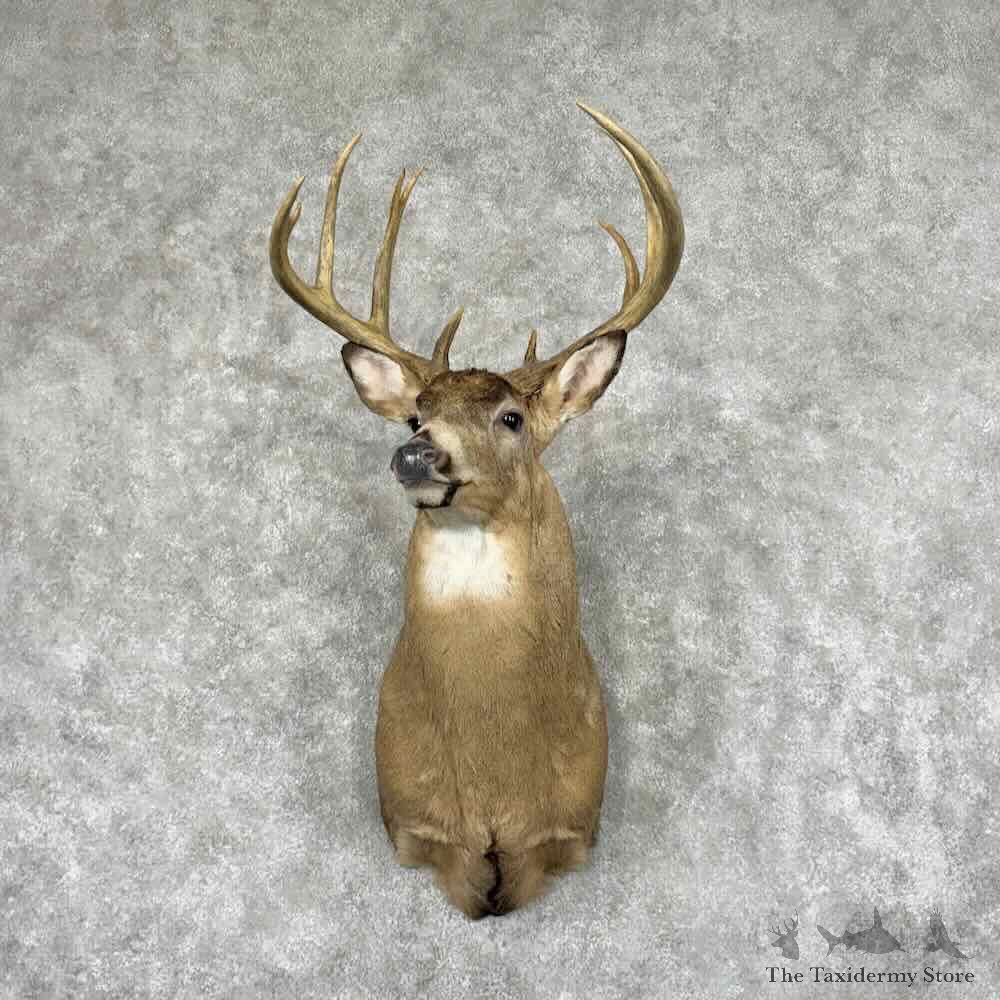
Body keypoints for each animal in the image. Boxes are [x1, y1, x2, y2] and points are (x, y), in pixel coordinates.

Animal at [268, 103, 684, 918]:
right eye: (415, 414)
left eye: (511, 418)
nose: (416, 455)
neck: (494, 780)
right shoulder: (413, 826)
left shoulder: (570, 830)